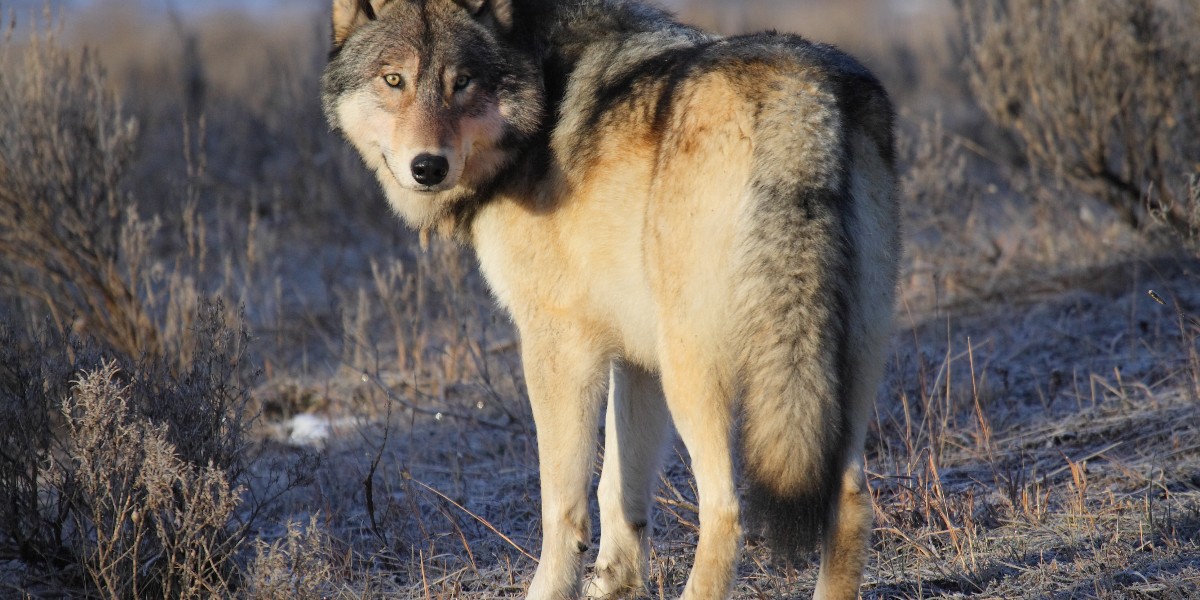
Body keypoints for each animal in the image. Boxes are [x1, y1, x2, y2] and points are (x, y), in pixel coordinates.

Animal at [321, 2, 902, 597]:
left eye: (462, 82)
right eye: (395, 80)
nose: (428, 167)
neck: (543, 87)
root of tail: (798, 94)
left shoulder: (557, 343)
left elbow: (563, 502)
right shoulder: (635, 357)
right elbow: (620, 492)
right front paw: (615, 584)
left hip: (693, 371)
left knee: (726, 508)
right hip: (845, 366)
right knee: (850, 498)